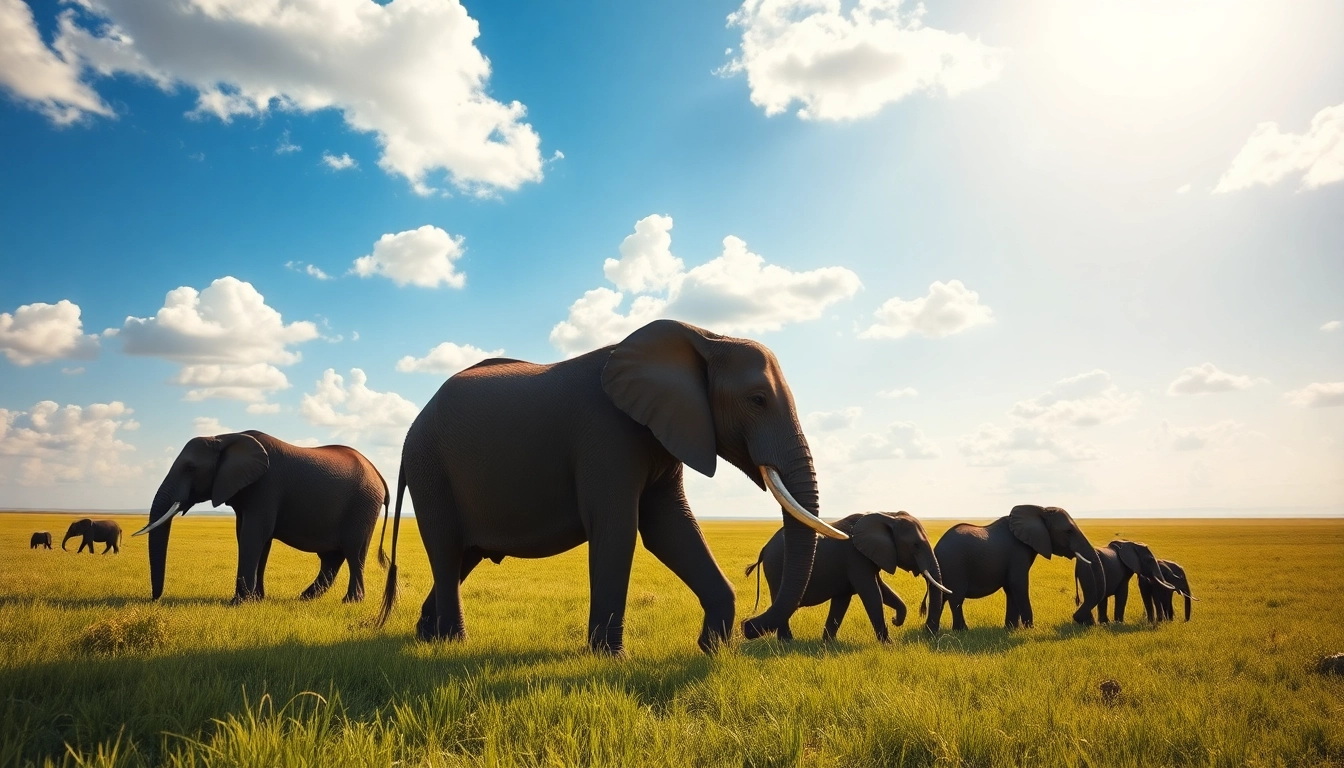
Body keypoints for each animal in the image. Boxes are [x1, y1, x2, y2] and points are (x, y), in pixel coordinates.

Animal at [133, 430, 389, 604]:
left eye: (190, 468)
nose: (155, 599)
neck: (224, 438)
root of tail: (379, 475)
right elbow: (255, 538)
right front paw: (256, 600)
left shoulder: (265, 487)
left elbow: (253, 535)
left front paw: (238, 603)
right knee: (331, 557)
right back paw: (304, 598)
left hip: (363, 505)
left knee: (353, 552)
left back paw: (350, 601)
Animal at [377, 319, 849, 656]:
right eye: (757, 400)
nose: (752, 629)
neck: (706, 336)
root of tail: (413, 425)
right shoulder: (606, 436)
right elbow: (619, 529)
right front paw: (611, 657)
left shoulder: (662, 432)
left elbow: (670, 528)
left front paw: (711, 649)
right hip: (430, 468)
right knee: (445, 548)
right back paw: (453, 643)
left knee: (463, 557)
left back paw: (426, 636)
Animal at [744, 511, 950, 642]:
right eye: (915, 545)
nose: (928, 630)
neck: (888, 515)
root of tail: (765, 548)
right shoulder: (856, 557)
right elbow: (872, 593)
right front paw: (889, 644)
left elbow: (870, 593)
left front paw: (828, 643)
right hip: (776, 567)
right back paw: (786, 642)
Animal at [923, 504, 1098, 632]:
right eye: (1068, 531)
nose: (1086, 621)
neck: (1040, 509)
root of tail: (936, 548)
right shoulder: (1018, 553)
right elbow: (1018, 584)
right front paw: (1030, 629)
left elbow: (1011, 589)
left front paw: (1011, 628)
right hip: (955, 566)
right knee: (956, 598)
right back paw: (962, 631)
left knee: (941, 598)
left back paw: (931, 632)